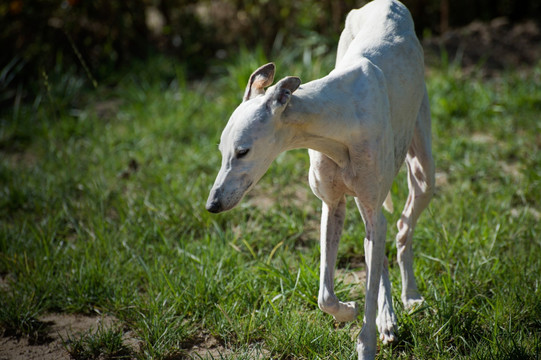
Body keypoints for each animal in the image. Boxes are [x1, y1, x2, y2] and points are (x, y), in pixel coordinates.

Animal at [206, 0, 434, 358]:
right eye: (222, 149)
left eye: (242, 151)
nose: (212, 205)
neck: (338, 121)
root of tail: (386, 3)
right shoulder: (332, 204)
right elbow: (325, 295)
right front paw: (350, 310)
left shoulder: (367, 202)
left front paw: (365, 341)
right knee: (380, 245)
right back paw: (387, 317)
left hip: (422, 171)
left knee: (400, 228)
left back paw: (409, 296)